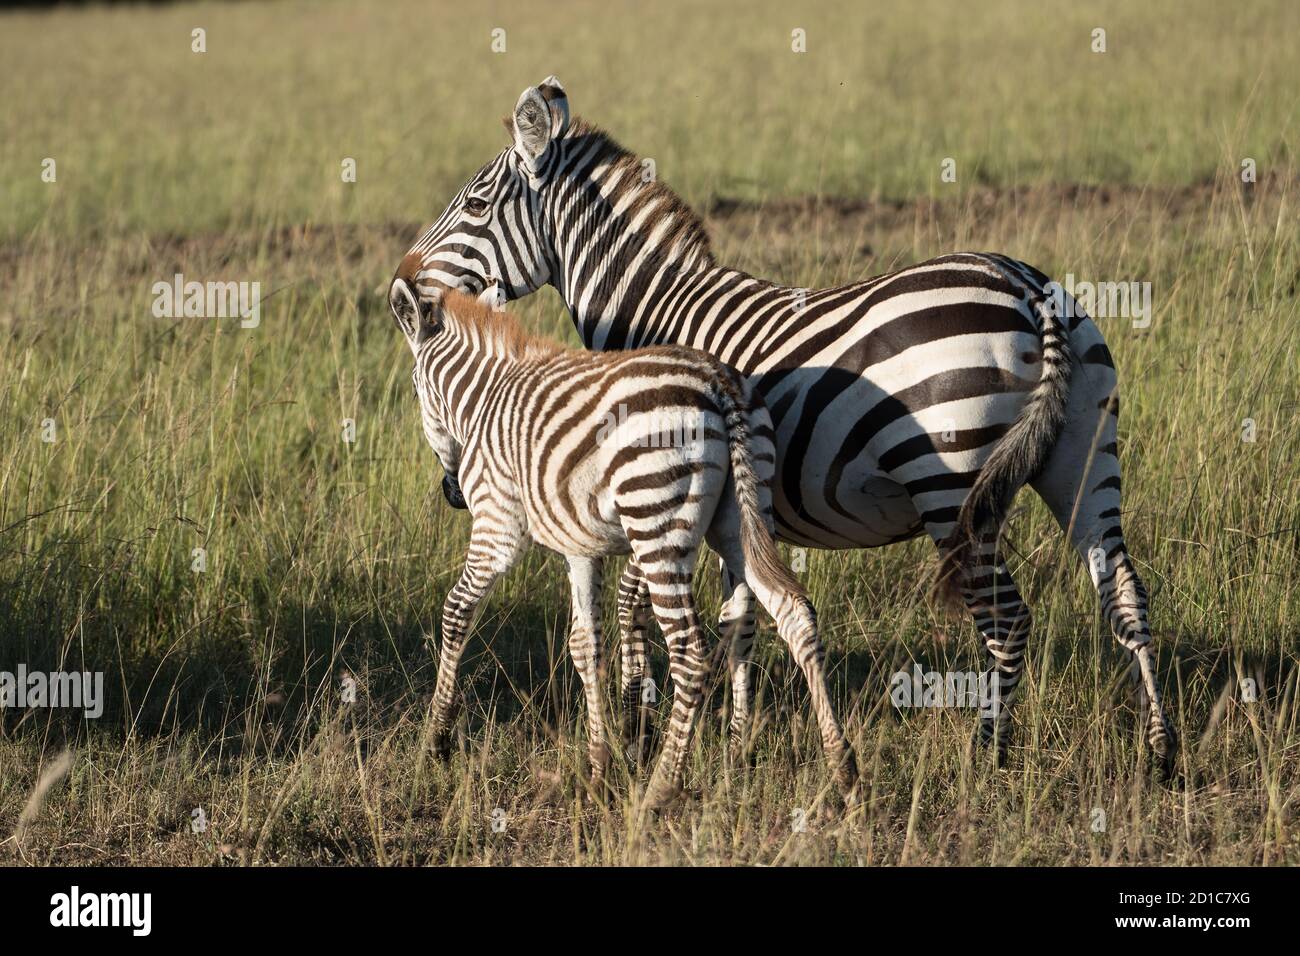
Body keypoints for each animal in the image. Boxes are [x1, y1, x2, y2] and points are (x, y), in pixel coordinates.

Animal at [389, 279, 859, 807]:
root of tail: (720, 384)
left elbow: (456, 611)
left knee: (690, 651)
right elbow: (584, 644)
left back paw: (661, 789)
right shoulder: (579, 546)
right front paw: (598, 767)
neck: (486, 397)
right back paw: (842, 772)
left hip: (656, 519)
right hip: (743, 515)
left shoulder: (497, 526)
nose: (452, 493)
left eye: (414, 389)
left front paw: (436, 740)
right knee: (793, 614)